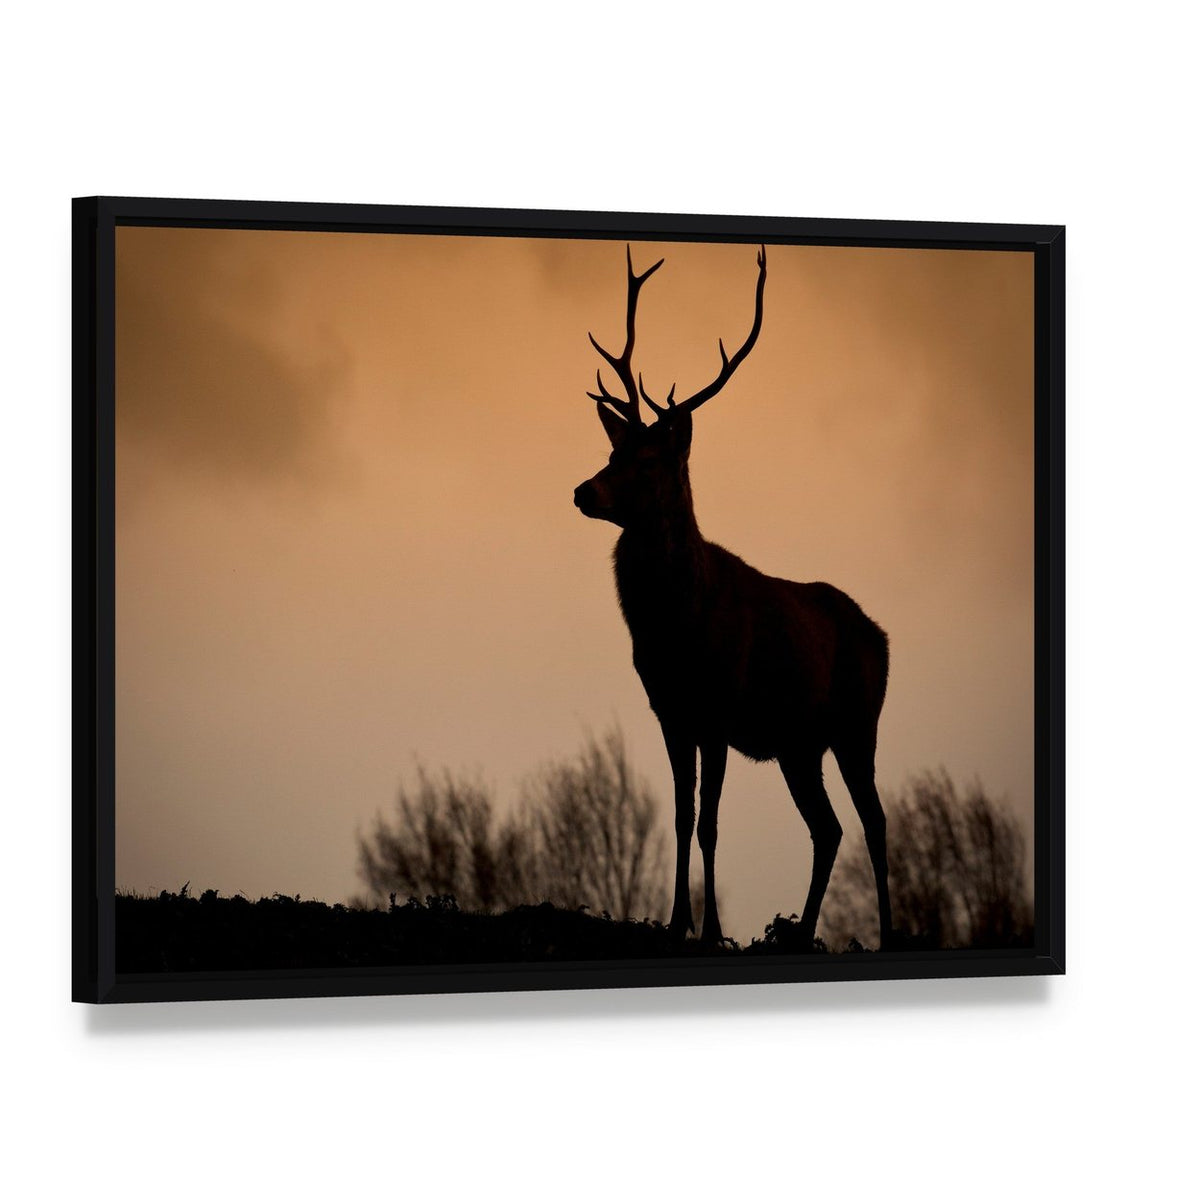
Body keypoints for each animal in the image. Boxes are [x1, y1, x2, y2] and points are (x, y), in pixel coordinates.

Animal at [573, 244, 893, 950]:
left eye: (649, 462)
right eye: (612, 451)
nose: (582, 490)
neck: (674, 628)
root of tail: (883, 635)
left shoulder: (717, 707)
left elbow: (712, 822)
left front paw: (712, 930)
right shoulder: (669, 711)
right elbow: (680, 815)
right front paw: (676, 923)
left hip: (858, 724)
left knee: (875, 823)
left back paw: (888, 934)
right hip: (799, 745)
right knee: (828, 828)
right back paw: (799, 932)